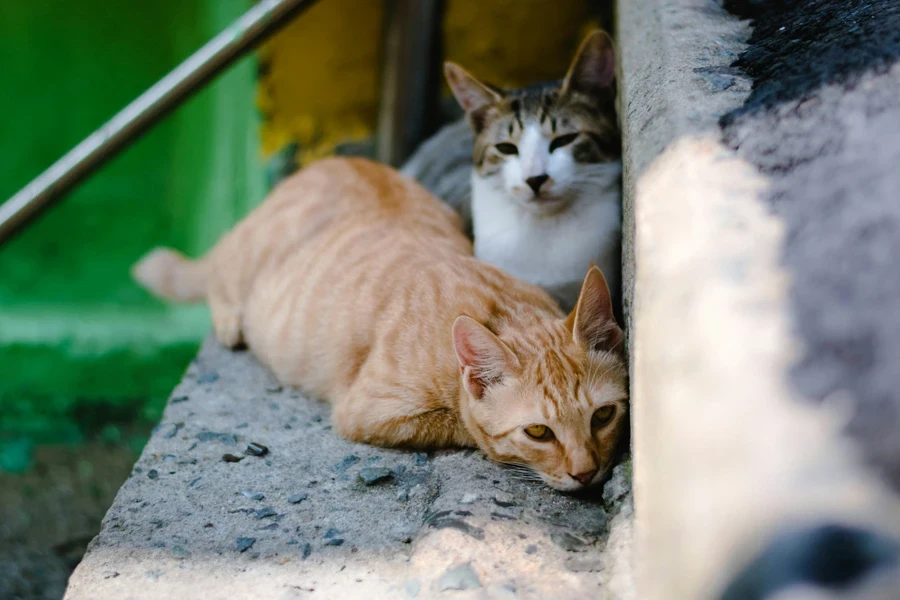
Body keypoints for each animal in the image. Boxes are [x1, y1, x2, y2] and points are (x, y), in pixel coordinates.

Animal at [134, 157, 628, 490]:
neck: (500, 308)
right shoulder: (367, 410)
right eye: (538, 432)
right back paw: (228, 318)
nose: (586, 473)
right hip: (240, 262)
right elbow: (462, 424)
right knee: (216, 274)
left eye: (603, 416)